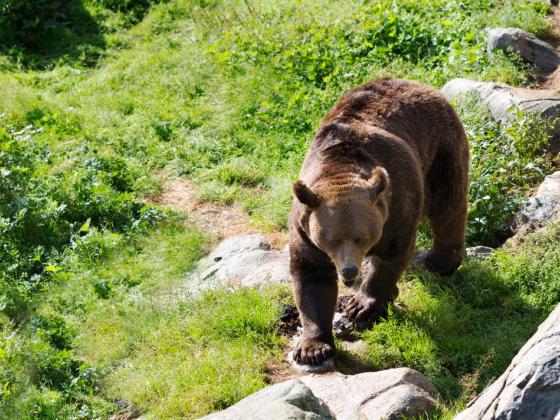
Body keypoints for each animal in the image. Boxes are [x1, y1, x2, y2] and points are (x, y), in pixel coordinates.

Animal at [288, 78, 468, 364]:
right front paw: (311, 349)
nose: (349, 272)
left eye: (361, 237)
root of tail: (416, 83)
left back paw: (441, 262)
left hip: (441, 148)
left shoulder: (395, 205)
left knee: (448, 204)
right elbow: (311, 275)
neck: (340, 169)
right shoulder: (304, 227)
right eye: (331, 240)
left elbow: (392, 255)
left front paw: (361, 306)